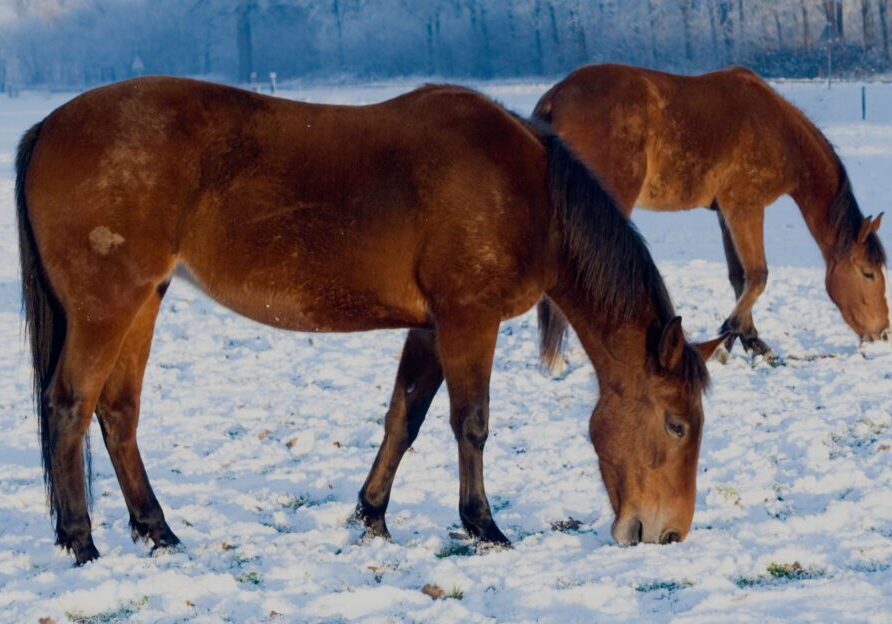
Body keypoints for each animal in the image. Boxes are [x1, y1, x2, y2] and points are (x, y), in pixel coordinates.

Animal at [16, 77, 723, 565]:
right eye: (677, 425)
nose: (667, 533)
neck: (531, 192)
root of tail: (49, 126)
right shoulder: (469, 320)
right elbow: (471, 424)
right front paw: (484, 527)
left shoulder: (432, 327)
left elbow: (404, 417)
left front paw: (372, 516)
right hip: (108, 306)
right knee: (70, 406)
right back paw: (81, 541)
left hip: (144, 300)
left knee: (118, 413)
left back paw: (157, 530)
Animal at [533, 64, 888, 365]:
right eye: (868, 273)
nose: (883, 332)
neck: (778, 130)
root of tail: (557, 95)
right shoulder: (746, 207)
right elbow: (758, 276)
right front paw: (726, 341)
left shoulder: (725, 214)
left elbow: (739, 277)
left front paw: (749, 340)